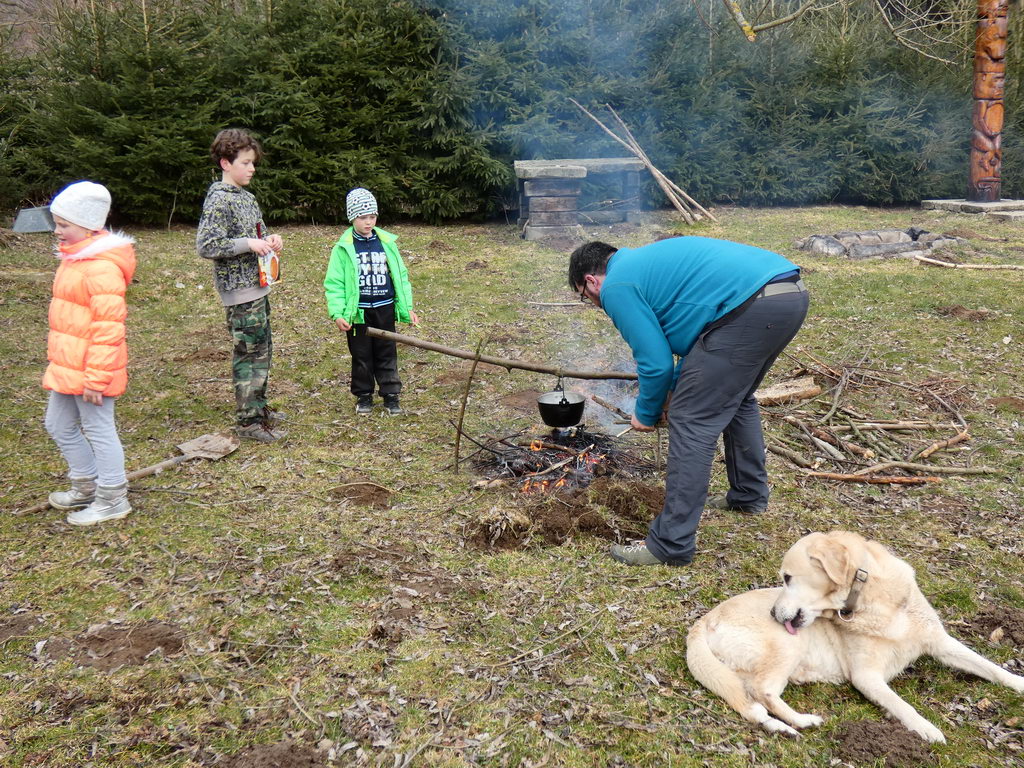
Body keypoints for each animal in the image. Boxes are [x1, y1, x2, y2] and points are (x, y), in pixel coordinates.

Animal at [686, 531, 1024, 742]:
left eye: (787, 577)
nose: (773, 613)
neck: (873, 602)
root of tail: (701, 623)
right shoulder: (866, 676)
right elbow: (902, 705)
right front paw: (926, 729)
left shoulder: (941, 643)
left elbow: (990, 667)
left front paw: (1018, 683)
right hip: (788, 644)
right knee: (763, 692)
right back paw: (802, 721)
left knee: (750, 704)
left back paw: (781, 727)